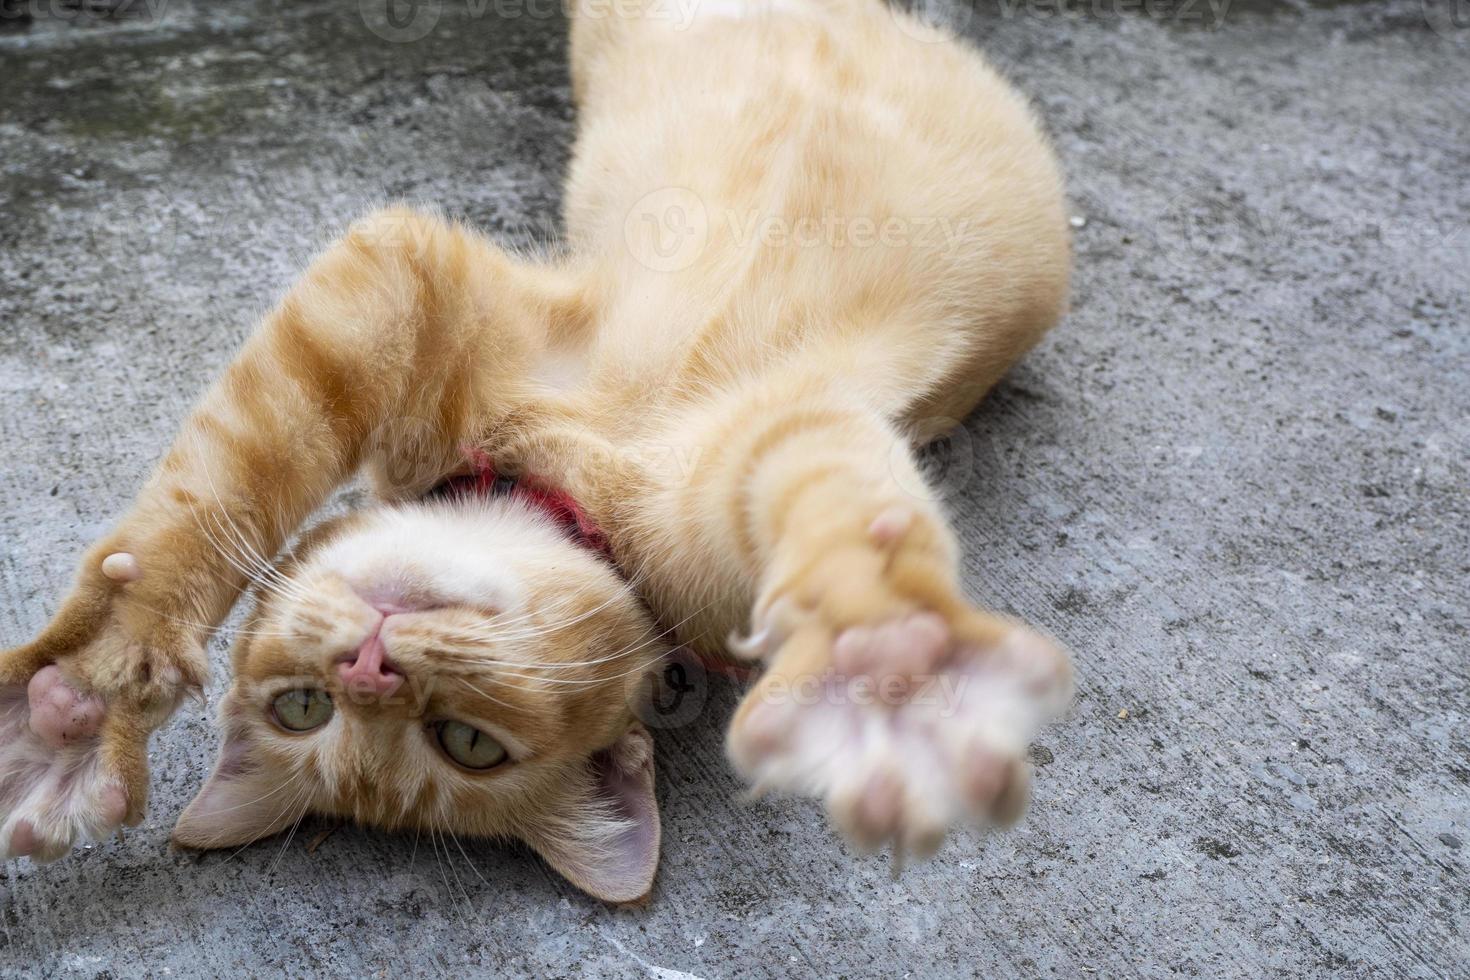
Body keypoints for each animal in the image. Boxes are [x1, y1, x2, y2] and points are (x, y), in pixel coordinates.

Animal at [5, 0, 1076, 905]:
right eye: (303, 710)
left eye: (468, 743)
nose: (368, 667)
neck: (566, 478)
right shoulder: (400, 289)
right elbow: (212, 490)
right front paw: (84, 701)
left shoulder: (741, 441)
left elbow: (843, 520)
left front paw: (884, 648)